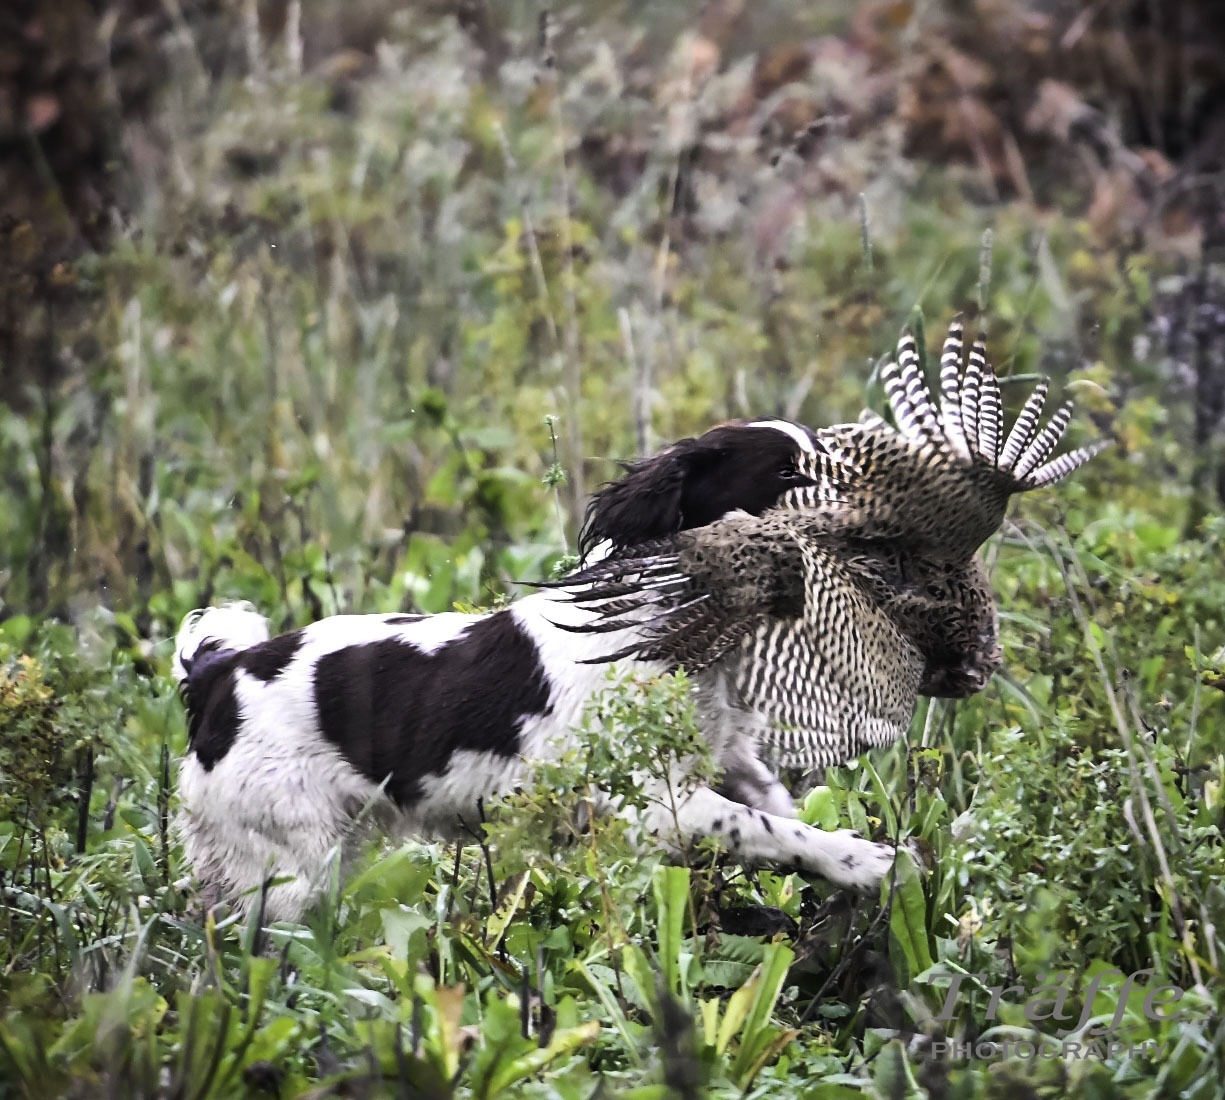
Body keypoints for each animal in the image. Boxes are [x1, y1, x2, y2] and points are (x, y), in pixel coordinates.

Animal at [175, 421, 891, 916]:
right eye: (786, 474)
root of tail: (219, 673)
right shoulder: (656, 803)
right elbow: (771, 828)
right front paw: (861, 859)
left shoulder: (725, 760)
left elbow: (778, 807)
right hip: (292, 867)